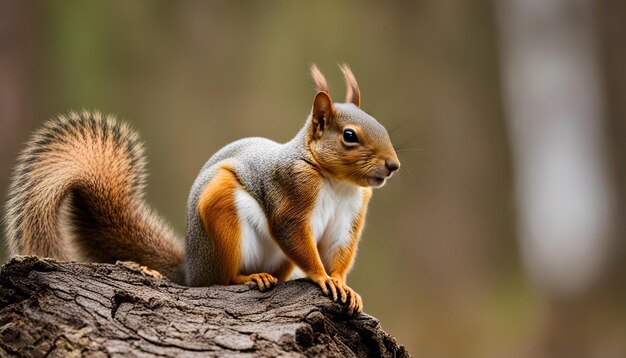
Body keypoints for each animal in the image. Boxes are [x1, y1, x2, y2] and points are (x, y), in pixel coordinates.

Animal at [2, 63, 398, 314]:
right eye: (349, 136)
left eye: (381, 125)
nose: (393, 166)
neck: (336, 182)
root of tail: (191, 269)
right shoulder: (290, 192)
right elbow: (294, 235)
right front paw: (320, 277)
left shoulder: (349, 217)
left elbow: (340, 253)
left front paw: (343, 285)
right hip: (221, 215)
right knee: (218, 282)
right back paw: (247, 277)